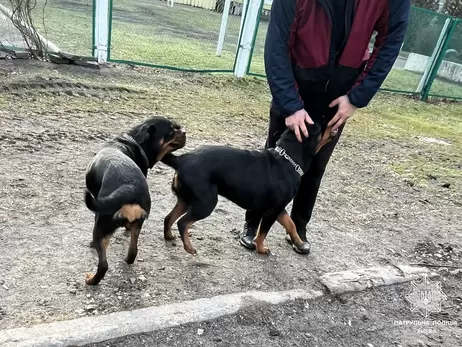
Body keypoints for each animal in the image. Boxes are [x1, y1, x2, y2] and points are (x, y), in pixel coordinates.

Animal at [84, 117, 185, 286]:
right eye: (172, 130)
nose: (184, 131)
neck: (133, 141)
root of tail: (129, 188)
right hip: (137, 225)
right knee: (133, 252)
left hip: (100, 226)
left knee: (103, 265)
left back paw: (91, 280)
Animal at [161, 122, 334, 256]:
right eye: (320, 126)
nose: (333, 124)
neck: (288, 161)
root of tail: (181, 160)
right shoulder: (272, 211)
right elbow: (262, 233)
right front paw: (261, 249)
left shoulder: (279, 208)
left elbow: (290, 224)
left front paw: (299, 242)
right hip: (205, 203)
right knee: (183, 223)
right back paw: (189, 248)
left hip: (185, 200)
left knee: (168, 218)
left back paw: (169, 236)